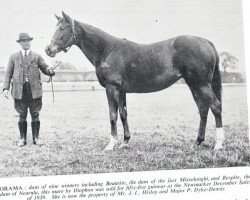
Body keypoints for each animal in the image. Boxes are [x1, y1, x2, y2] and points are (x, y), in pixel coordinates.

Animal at [45, 11, 225, 151]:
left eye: (62, 28)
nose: (48, 49)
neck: (107, 50)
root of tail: (205, 42)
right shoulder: (121, 90)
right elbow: (123, 114)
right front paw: (125, 142)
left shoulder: (111, 88)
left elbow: (112, 115)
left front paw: (111, 144)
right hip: (194, 85)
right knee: (203, 109)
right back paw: (198, 142)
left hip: (201, 85)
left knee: (215, 106)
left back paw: (218, 144)